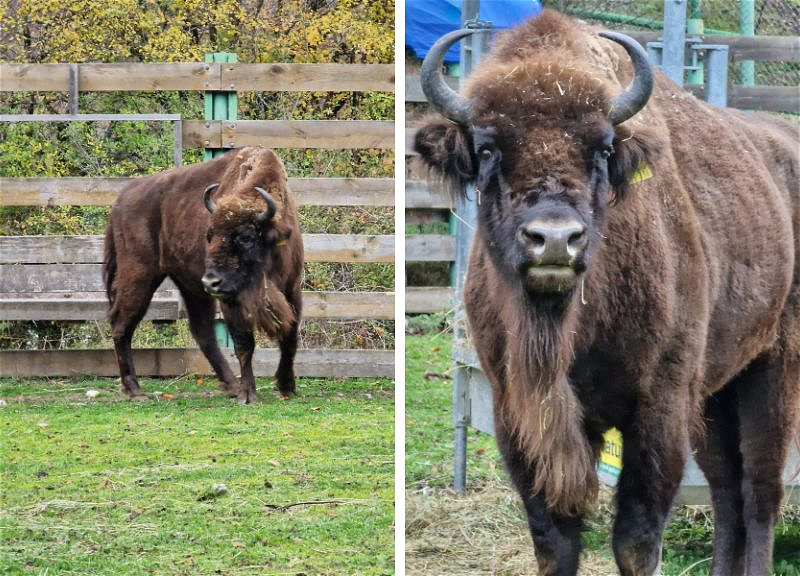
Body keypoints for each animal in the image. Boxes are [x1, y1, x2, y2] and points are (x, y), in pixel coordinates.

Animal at [104, 146, 304, 402]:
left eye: (246, 238)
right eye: (209, 235)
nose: (211, 282)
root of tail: (120, 200)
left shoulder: (292, 289)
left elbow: (290, 337)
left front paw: (287, 386)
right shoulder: (231, 300)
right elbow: (244, 344)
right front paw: (248, 394)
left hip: (190, 286)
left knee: (202, 332)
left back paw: (231, 385)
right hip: (139, 275)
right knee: (122, 324)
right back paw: (135, 390)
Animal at [416, 9, 796, 576]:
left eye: (602, 148)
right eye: (485, 148)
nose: (555, 239)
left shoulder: (659, 409)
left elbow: (636, 540)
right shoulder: (518, 416)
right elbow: (554, 541)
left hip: (774, 367)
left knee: (759, 489)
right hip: (718, 389)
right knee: (726, 490)